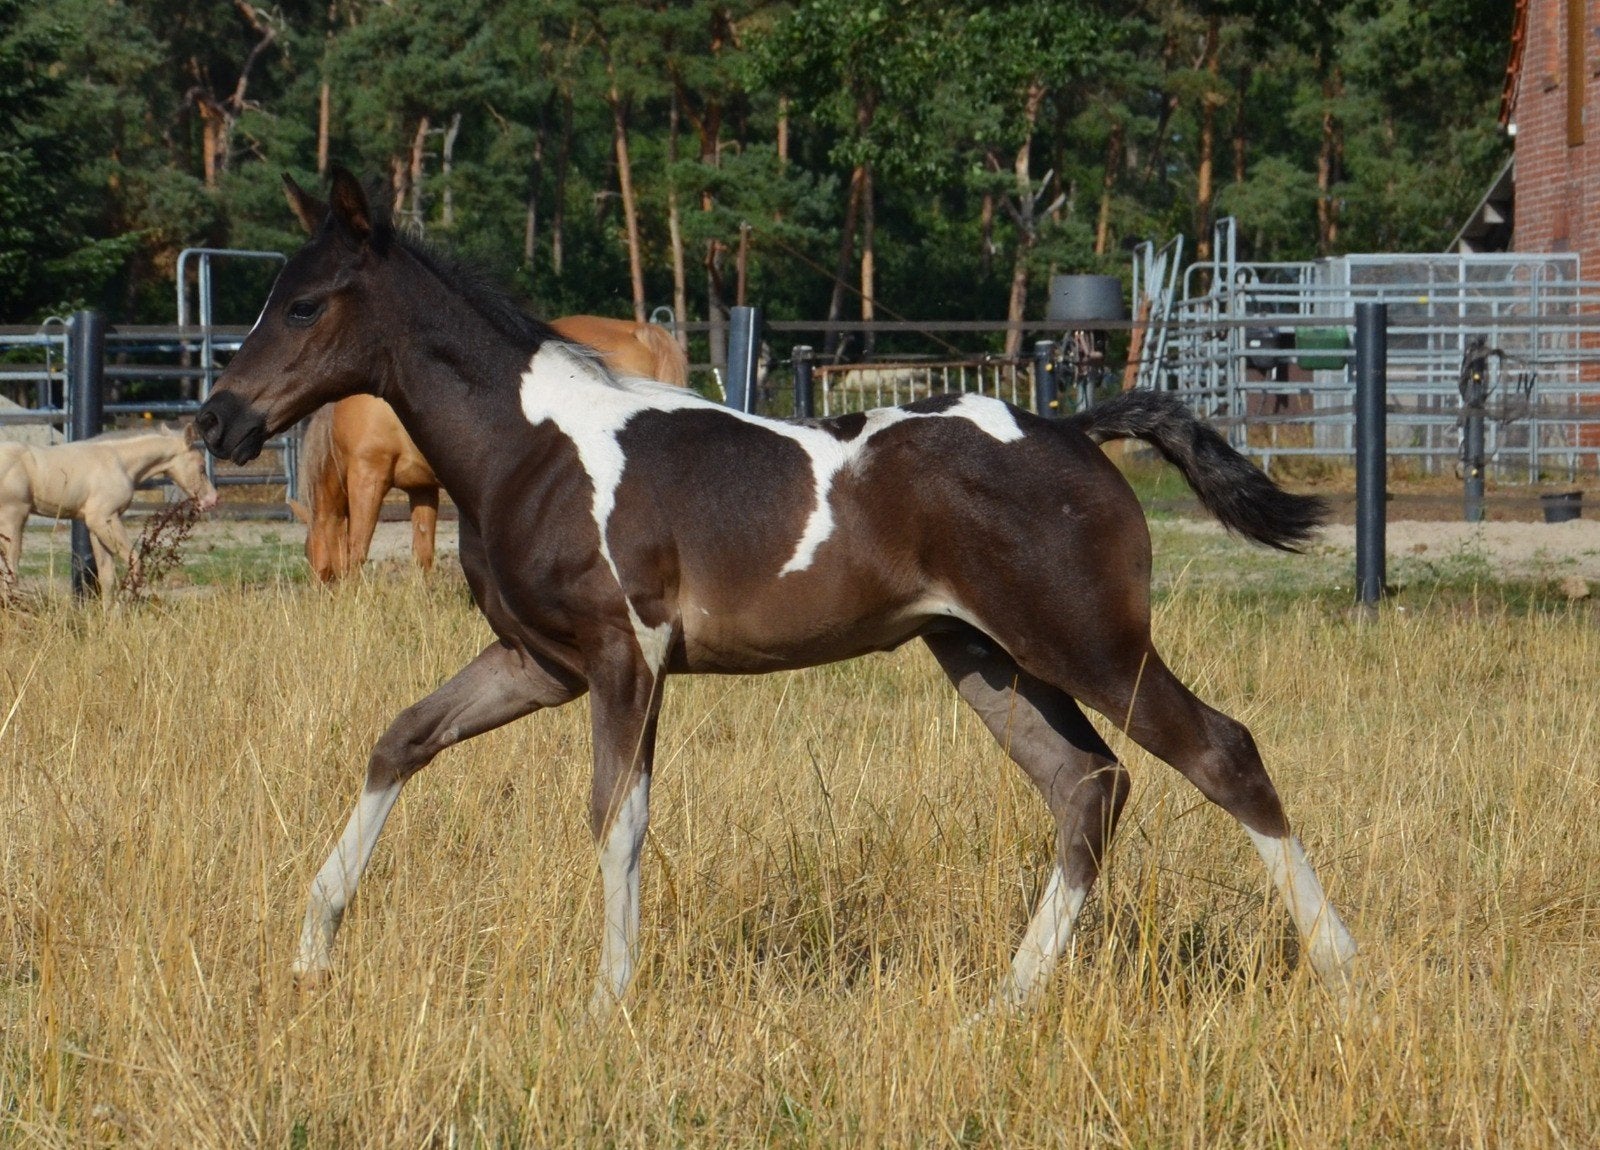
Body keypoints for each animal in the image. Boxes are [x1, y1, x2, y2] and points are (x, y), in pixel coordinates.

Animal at [0, 424, 219, 601]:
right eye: (201, 467)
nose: (211, 500)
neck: (119, 462)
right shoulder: (103, 518)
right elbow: (134, 562)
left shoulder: (96, 526)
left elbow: (106, 576)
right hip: (13, 519)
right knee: (10, 571)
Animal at [290, 315, 688, 582]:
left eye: (309, 555)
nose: (323, 600)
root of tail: (640, 331)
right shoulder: (422, 488)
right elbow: (423, 554)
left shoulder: (367, 474)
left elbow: (356, 549)